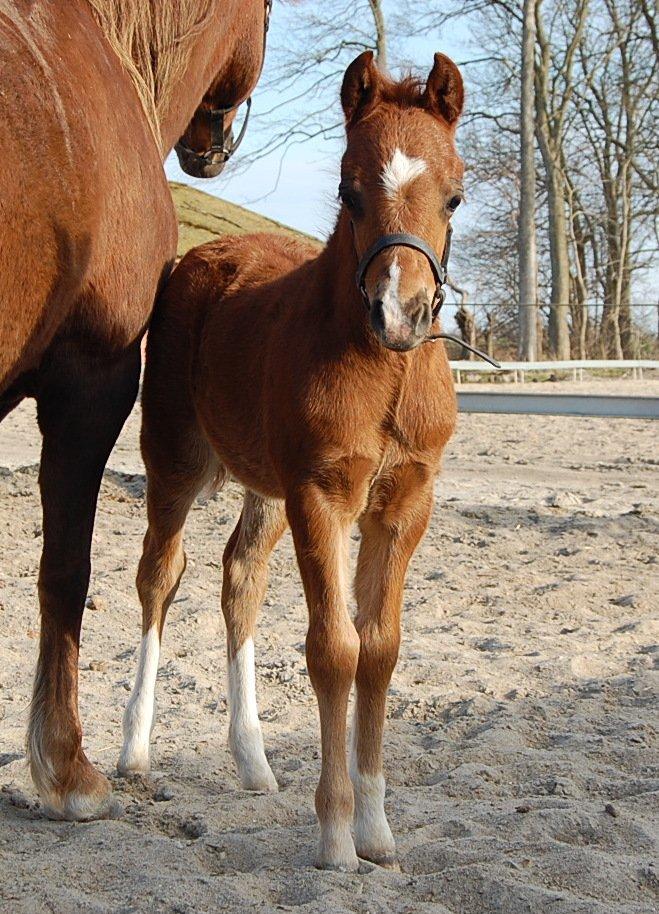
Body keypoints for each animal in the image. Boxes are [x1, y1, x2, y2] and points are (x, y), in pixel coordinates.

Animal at [119, 50, 465, 870]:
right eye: (347, 188)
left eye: (455, 197)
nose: (399, 315)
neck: (387, 373)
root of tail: (202, 254)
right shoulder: (321, 496)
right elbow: (333, 649)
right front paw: (336, 836)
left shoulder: (404, 505)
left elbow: (380, 650)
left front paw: (377, 831)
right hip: (175, 459)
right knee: (159, 576)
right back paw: (135, 748)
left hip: (266, 490)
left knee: (239, 577)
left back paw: (251, 760)